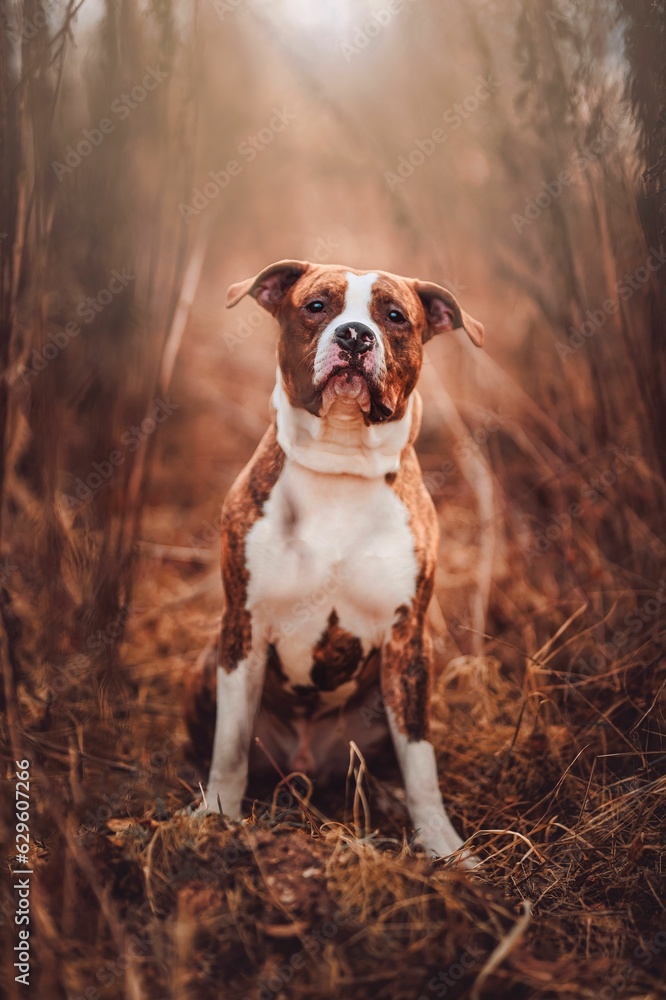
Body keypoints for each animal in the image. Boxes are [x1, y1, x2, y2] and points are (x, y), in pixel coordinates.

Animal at [183, 262, 482, 864]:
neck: (341, 465)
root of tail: (305, 761)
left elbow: (422, 764)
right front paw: (218, 816)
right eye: (317, 305)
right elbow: (229, 746)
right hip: (204, 667)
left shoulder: (408, 643)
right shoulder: (243, 627)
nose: (354, 336)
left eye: (394, 316)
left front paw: (444, 845)